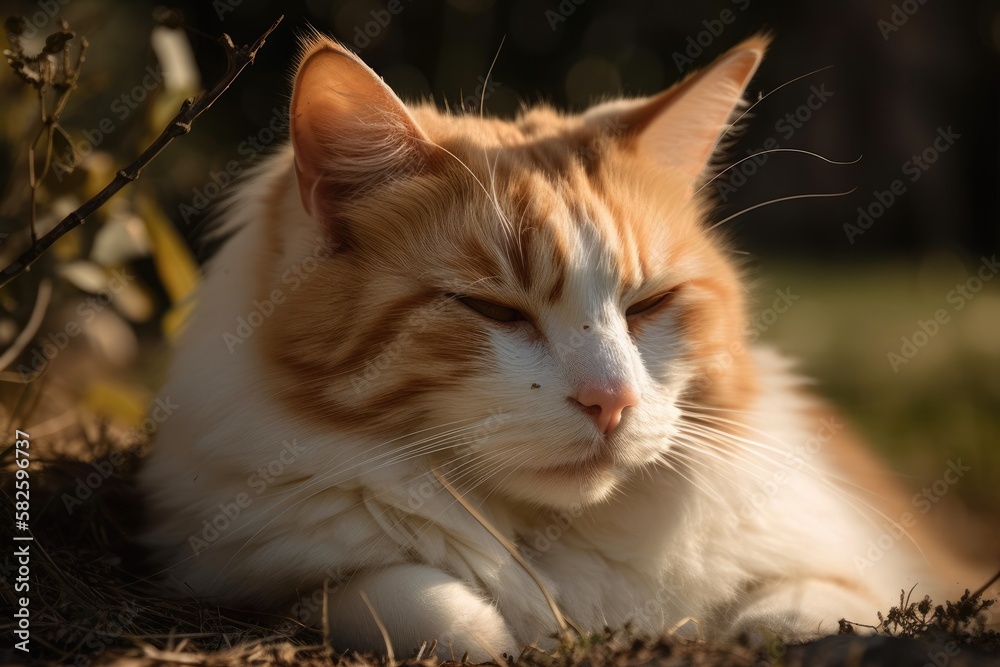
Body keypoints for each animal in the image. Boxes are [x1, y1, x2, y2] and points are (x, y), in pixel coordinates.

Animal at [137, 30, 980, 656]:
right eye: (494, 309)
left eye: (649, 304)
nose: (613, 401)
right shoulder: (244, 564)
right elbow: (415, 598)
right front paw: (492, 624)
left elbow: (818, 598)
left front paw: (780, 622)